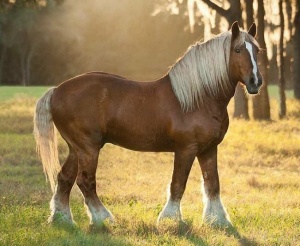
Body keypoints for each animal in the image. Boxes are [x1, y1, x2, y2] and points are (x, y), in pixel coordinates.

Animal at [33, 22, 262, 228]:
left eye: (257, 50)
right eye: (238, 50)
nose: (255, 82)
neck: (200, 98)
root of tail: (57, 90)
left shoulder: (208, 149)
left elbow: (212, 184)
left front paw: (217, 220)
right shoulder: (186, 149)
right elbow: (178, 184)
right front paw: (171, 219)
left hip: (76, 148)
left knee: (65, 178)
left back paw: (62, 219)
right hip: (89, 148)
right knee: (85, 181)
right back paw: (103, 219)